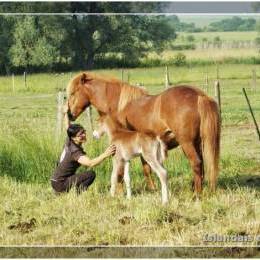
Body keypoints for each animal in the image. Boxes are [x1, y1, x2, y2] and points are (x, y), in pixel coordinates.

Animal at [66, 72, 220, 194]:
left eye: (73, 93)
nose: (69, 115)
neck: (118, 105)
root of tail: (200, 96)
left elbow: (121, 173)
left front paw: (120, 192)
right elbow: (146, 169)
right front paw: (153, 189)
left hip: (186, 143)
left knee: (196, 163)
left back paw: (197, 195)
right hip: (197, 142)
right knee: (202, 165)